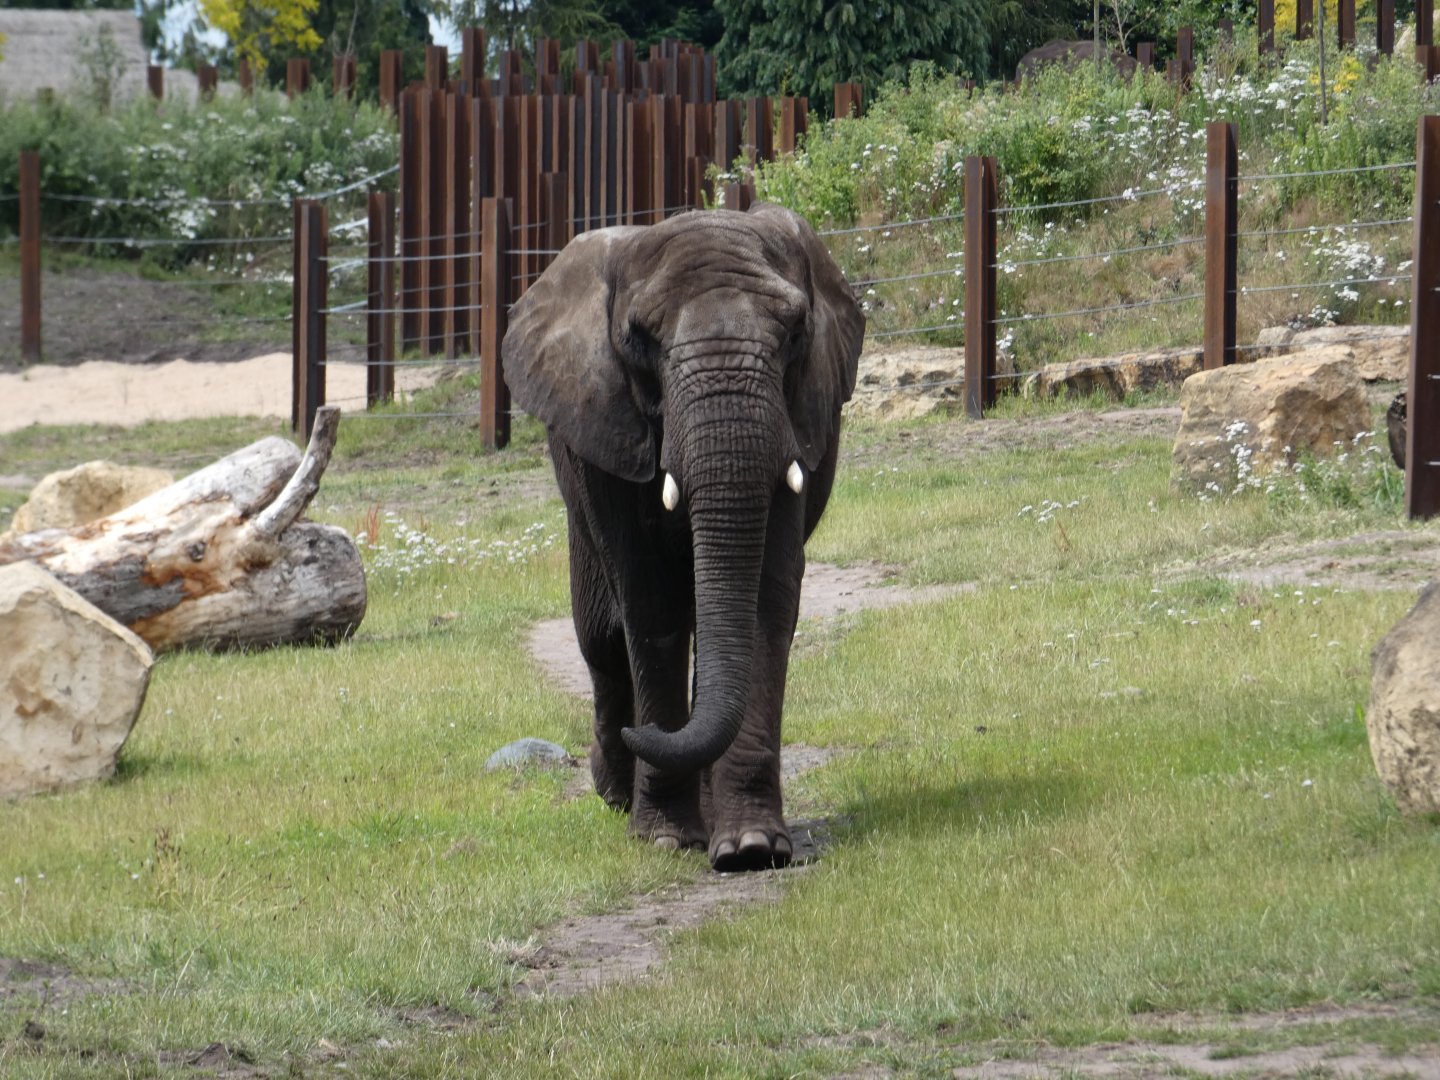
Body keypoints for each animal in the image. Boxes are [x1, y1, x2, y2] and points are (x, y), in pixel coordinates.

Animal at [502, 203, 865, 871]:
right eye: (639, 340)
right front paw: (667, 839)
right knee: (601, 640)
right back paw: (615, 792)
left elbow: (764, 599)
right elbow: (651, 604)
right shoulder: (611, 425)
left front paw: (750, 849)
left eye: (795, 334)